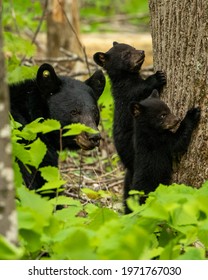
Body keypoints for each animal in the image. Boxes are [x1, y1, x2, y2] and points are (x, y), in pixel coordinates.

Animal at [93, 42, 167, 210]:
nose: (141, 51)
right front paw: (157, 77)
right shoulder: (128, 93)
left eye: (132, 47)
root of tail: (127, 164)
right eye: (126, 54)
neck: (126, 78)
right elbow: (139, 89)